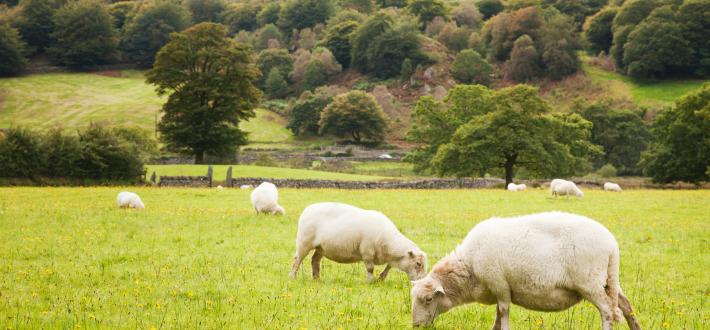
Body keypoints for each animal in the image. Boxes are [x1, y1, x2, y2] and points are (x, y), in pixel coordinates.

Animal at [290, 202, 428, 282]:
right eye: (418, 264)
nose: (422, 282)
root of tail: (307, 209)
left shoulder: (389, 257)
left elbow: (389, 266)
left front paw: (381, 278)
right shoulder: (367, 252)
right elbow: (370, 268)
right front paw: (370, 281)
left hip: (321, 247)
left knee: (315, 260)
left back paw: (316, 279)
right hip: (304, 242)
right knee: (297, 259)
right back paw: (292, 277)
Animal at [408, 211, 644, 330]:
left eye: (428, 299)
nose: (416, 325)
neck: (469, 268)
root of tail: (611, 244)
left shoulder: (500, 285)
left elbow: (503, 313)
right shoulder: (499, 290)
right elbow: (497, 317)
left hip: (590, 283)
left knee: (607, 312)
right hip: (609, 280)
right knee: (626, 307)